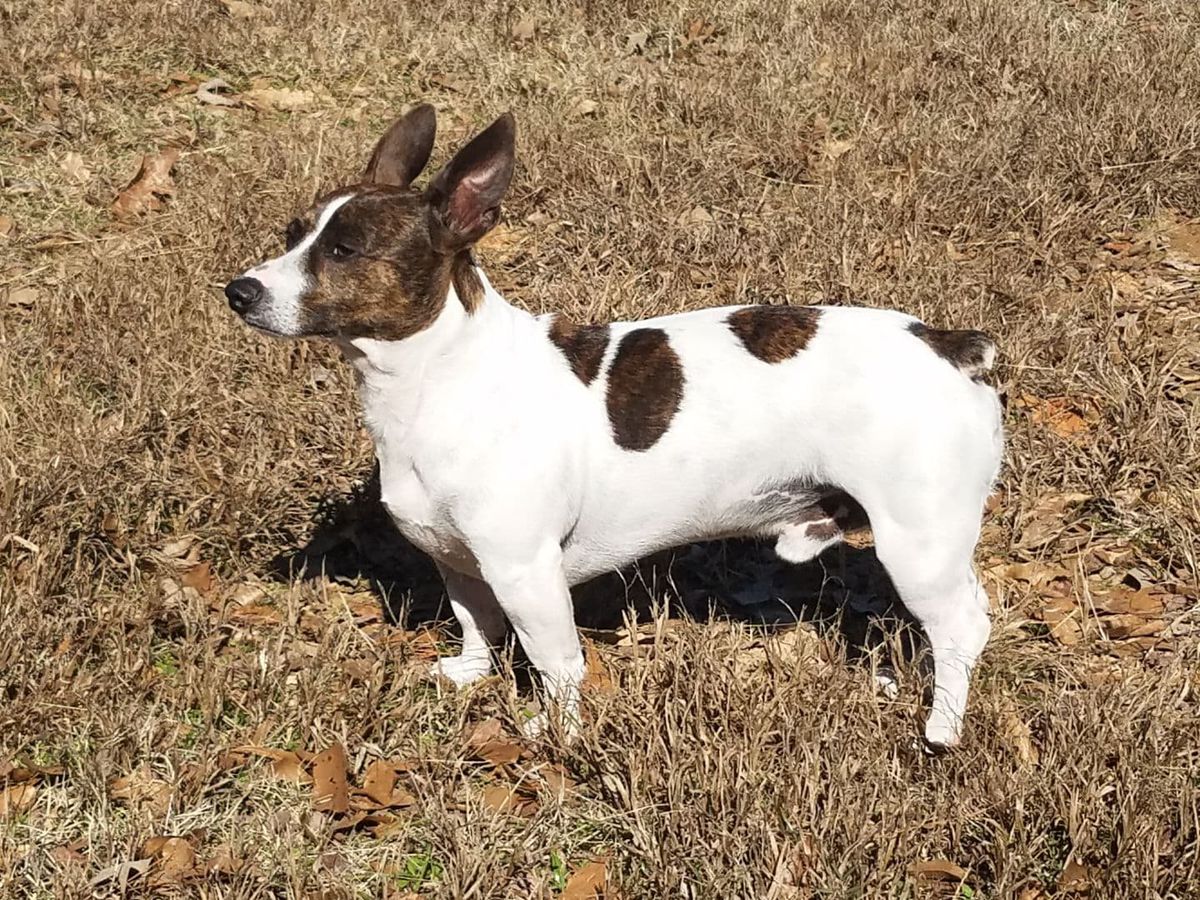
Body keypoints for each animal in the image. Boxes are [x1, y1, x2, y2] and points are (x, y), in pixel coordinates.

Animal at [225, 105, 1003, 748]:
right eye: (292, 235)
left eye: (344, 251)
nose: (238, 290)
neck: (440, 373)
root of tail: (951, 346)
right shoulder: (461, 561)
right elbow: (476, 620)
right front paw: (471, 673)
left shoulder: (526, 572)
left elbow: (556, 661)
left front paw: (559, 732)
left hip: (918, 543)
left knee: (964, 625)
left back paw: (942, 725)